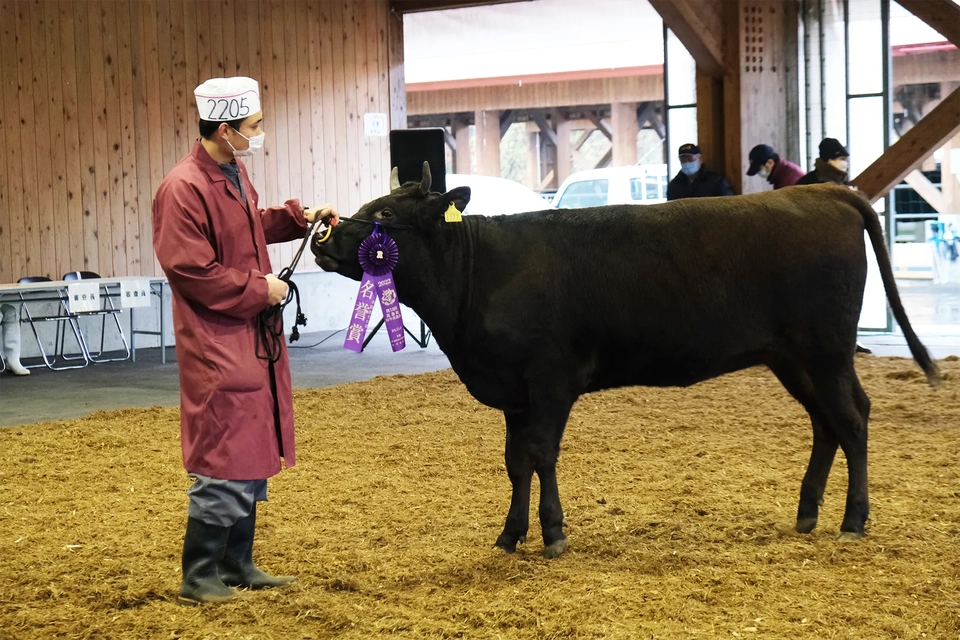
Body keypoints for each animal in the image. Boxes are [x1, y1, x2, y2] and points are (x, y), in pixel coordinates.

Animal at [314, 162, 936, 556]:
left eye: (385, 216)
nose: (323, 236)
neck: (480, 274)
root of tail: (824, 194)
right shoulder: (514, 390)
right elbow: (515, 461)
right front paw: (510, 535)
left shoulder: (551, 379)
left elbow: (540, 454)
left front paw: (553, 534)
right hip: (793, 358)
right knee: (827, 422)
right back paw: (808, 515)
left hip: (825, 350)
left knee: (851, 420)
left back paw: (853, 522)